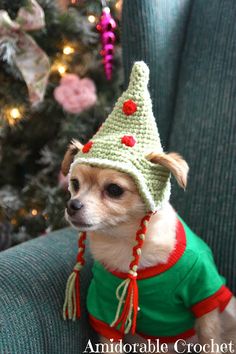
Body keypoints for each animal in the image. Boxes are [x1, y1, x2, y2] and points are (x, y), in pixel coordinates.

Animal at [61, 140, 236, 352]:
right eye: (75, 184)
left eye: (114, 189)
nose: (72, 205)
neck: (127, 244)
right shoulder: (105, 309)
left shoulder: (204, 296)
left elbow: (210, 339)